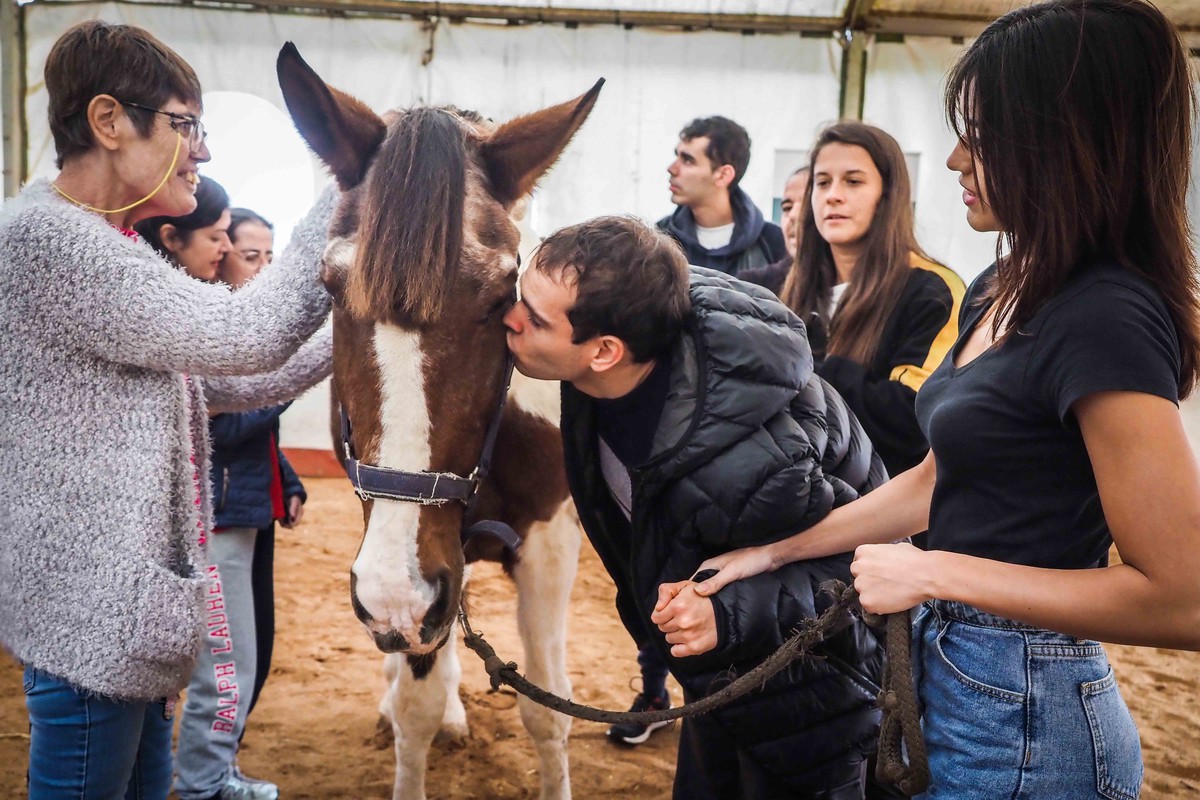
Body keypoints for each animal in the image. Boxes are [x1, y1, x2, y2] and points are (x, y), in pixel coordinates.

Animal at [277, 47, 604, 800]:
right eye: (331, 288)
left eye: (503, 294)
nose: (395, 596)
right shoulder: (402, 553)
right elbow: (416, 706)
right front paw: (425, 707)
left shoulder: (547, 545)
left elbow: (549, 710)